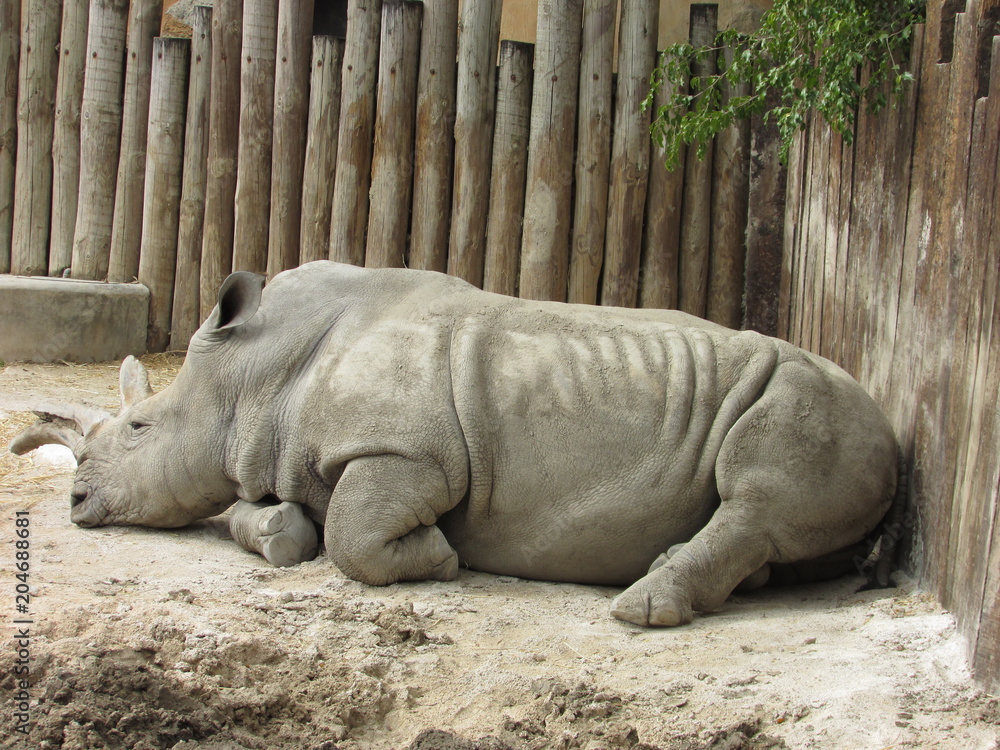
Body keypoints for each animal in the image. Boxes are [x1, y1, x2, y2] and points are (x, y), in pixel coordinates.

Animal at [10, 261, 903, 626]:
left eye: (139, 429)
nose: (76, 500)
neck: (252, 371)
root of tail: (893, 425)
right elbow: (257, 511)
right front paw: (280, 532)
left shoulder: (407, 455)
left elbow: (356, 538)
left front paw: (439, 557)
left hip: (817, 402)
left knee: (758, 489)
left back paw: (639, 608)